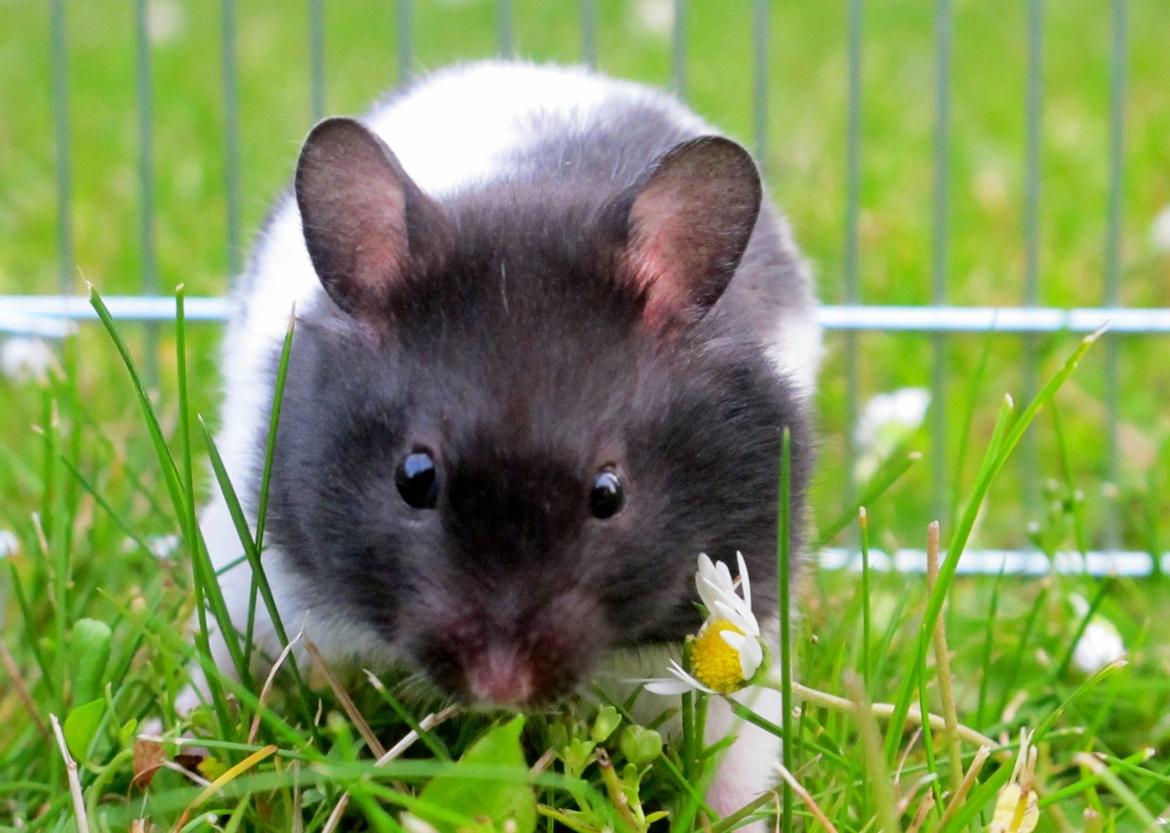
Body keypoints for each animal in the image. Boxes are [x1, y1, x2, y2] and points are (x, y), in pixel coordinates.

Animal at [198, 61, 821, 815]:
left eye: (609, 494)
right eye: (414, 479)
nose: (501, 686)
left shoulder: (747, 618)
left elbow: (735, 761)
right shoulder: (262, 572)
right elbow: (226, 667)